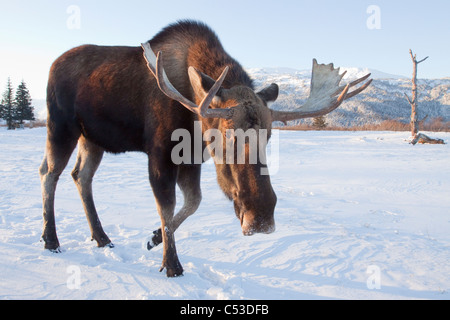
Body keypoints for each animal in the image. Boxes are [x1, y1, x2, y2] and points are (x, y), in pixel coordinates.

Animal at [38, 20, 370, 276]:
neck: (195, 120)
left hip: (92, 138)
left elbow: (193, 203)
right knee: (49, 172)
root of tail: (52, 65)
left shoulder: (192, 159)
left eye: (269, 136)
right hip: (61, 126)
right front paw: (172, 265)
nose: (261, 217)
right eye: (225, 135)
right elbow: (167, 206)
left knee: (81, 176)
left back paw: (101, 236)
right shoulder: (160, 153)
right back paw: (51, 239)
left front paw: (154, 238)